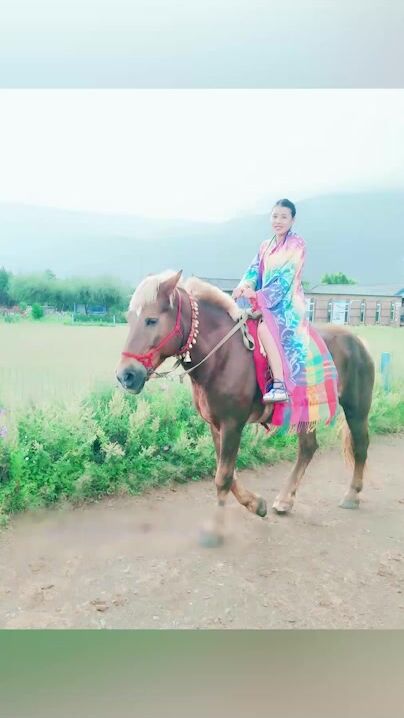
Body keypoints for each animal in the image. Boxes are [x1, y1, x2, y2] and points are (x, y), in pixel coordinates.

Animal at [116, 270, 375, 546]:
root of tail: (358, 342)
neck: (222, 356)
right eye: (130, 319)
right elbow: (228, 474)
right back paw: (285, 499)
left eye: (151, 320)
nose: (126, 375)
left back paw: (352, 495)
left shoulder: (233, 424)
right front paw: (256, 504)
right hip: (306, 412)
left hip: (356, 408)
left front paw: (214, 530)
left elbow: (223, 477)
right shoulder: (216, 425)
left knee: (360, 446)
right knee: (308, 448)